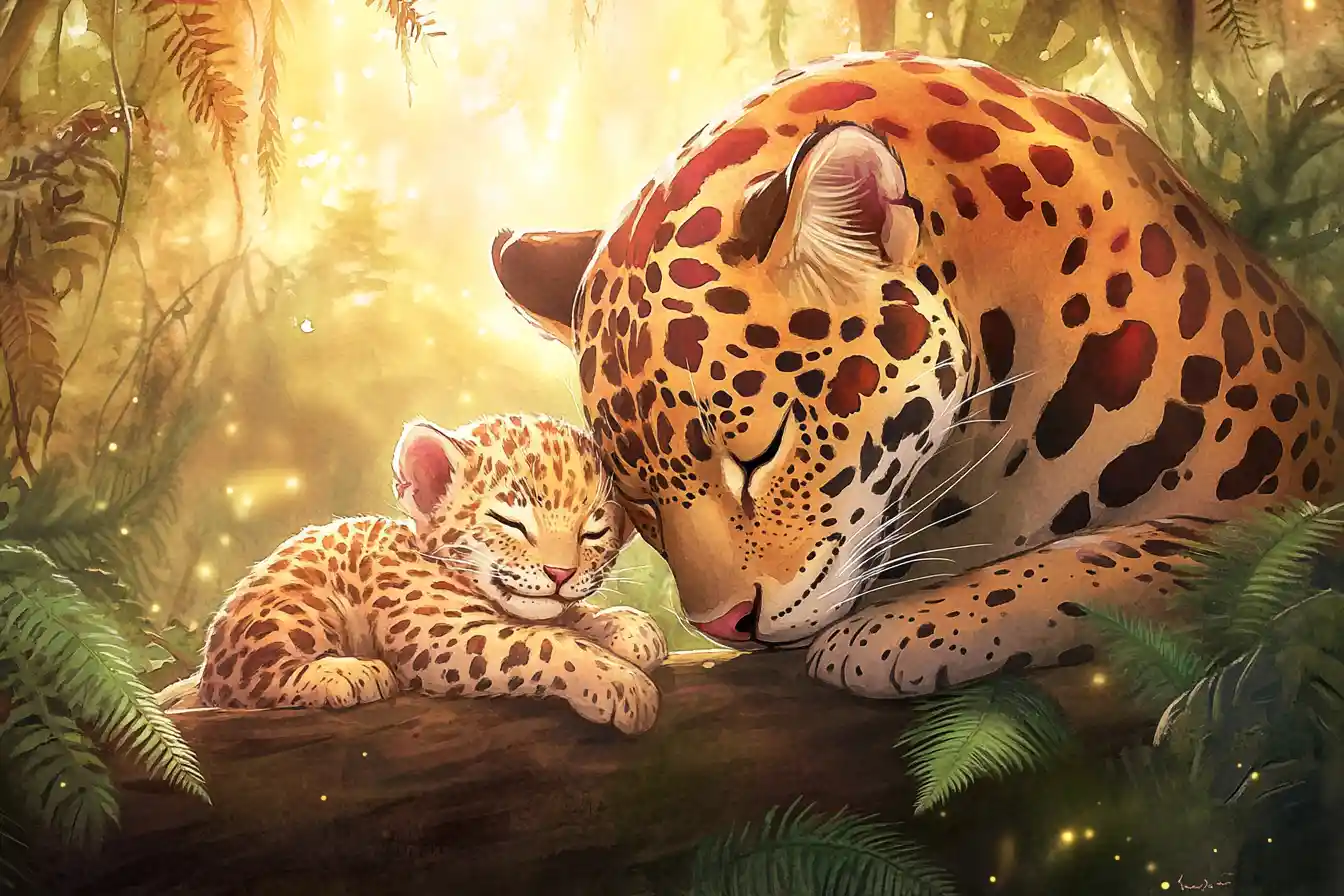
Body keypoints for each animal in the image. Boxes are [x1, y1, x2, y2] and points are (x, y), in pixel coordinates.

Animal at [154, 413, 668, 735]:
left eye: (593, 531)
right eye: (510, 522)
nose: (560, 573)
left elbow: (562, 619)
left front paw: (627, 627)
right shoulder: (442, 634)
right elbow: (544, 642)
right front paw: (624, 685)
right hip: (289, 609)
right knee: (242, 685)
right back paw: (347, 672)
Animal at [487, 50, 1344, 701]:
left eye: (760, 453)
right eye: (639, 498)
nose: (726, 625)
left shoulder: (1288, 510)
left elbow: (1125, 552)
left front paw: (899, 630)